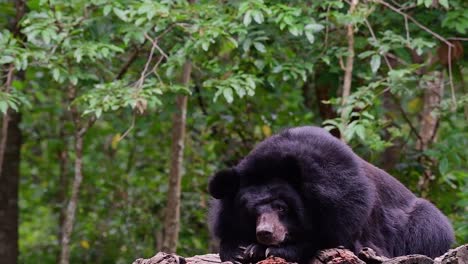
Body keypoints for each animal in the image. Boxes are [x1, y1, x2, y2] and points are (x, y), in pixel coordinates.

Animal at [207, 126, 454, 264]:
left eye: (281, 207)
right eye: (252, 212)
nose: (265, 233)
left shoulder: (347, 204)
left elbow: (333, 240)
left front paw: (263, 249)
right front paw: (237, 251)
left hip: (424, 225)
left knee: (429, 227)